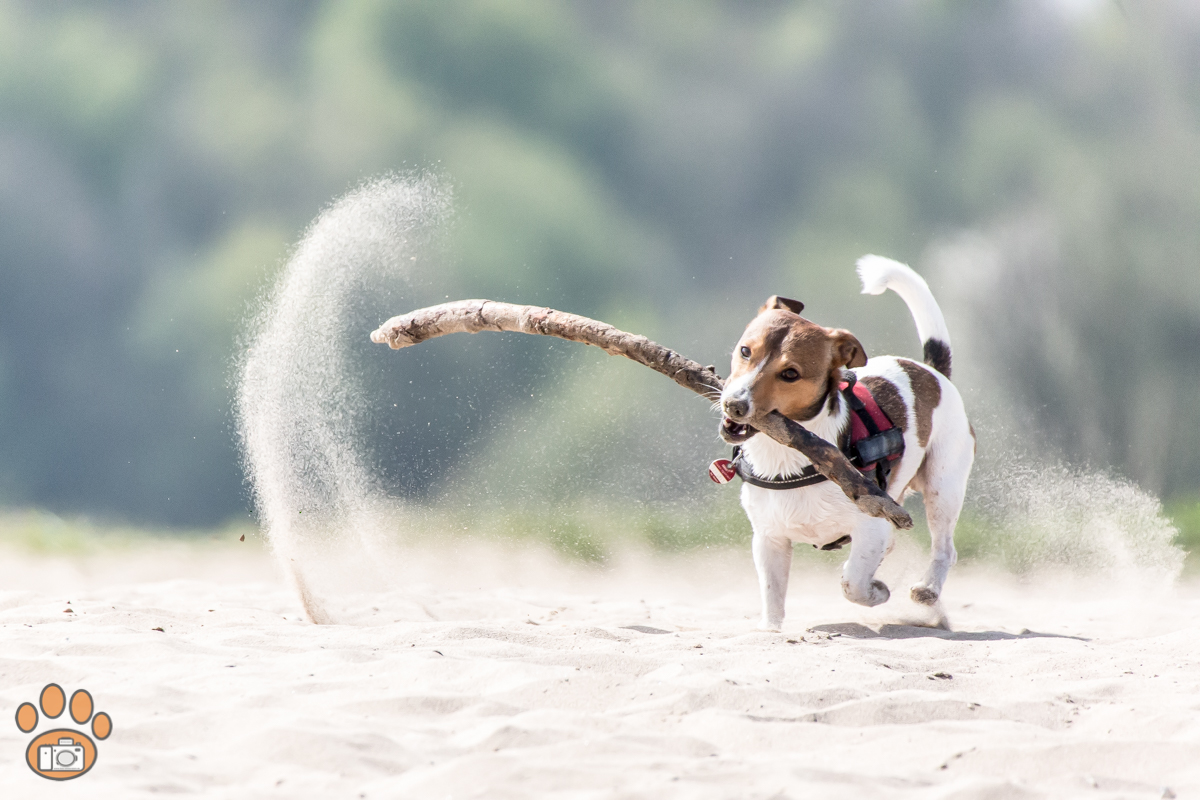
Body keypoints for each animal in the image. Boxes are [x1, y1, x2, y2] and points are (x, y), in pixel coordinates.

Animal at [715, 256, 969, 633]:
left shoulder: (872, 524)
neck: (787, 456)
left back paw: (927, 590)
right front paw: (771, 631)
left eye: (790, 374)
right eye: (745, 351)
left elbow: (853, 583)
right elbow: (772, 597)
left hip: (943, 485)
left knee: (944, 549)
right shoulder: (769, 539)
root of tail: (931, 371)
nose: (734, 404)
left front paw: (877, 592)